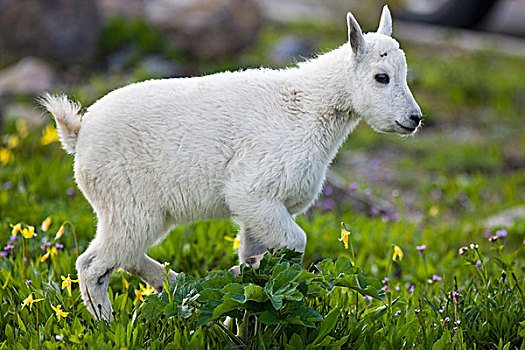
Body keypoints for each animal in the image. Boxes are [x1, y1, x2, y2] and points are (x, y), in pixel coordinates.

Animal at [41, 6, 420, 322]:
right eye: (382, 77)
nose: (414, 119)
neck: (309, 107)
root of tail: (78, 134)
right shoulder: (254, 191)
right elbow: (294, 242)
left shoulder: (260, 209)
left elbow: (255, 260)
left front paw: (245, 307)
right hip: (127, 202)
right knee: (93, 264)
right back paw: (108, 322)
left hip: (139, 212)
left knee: (126, 255)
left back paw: (183, 288)